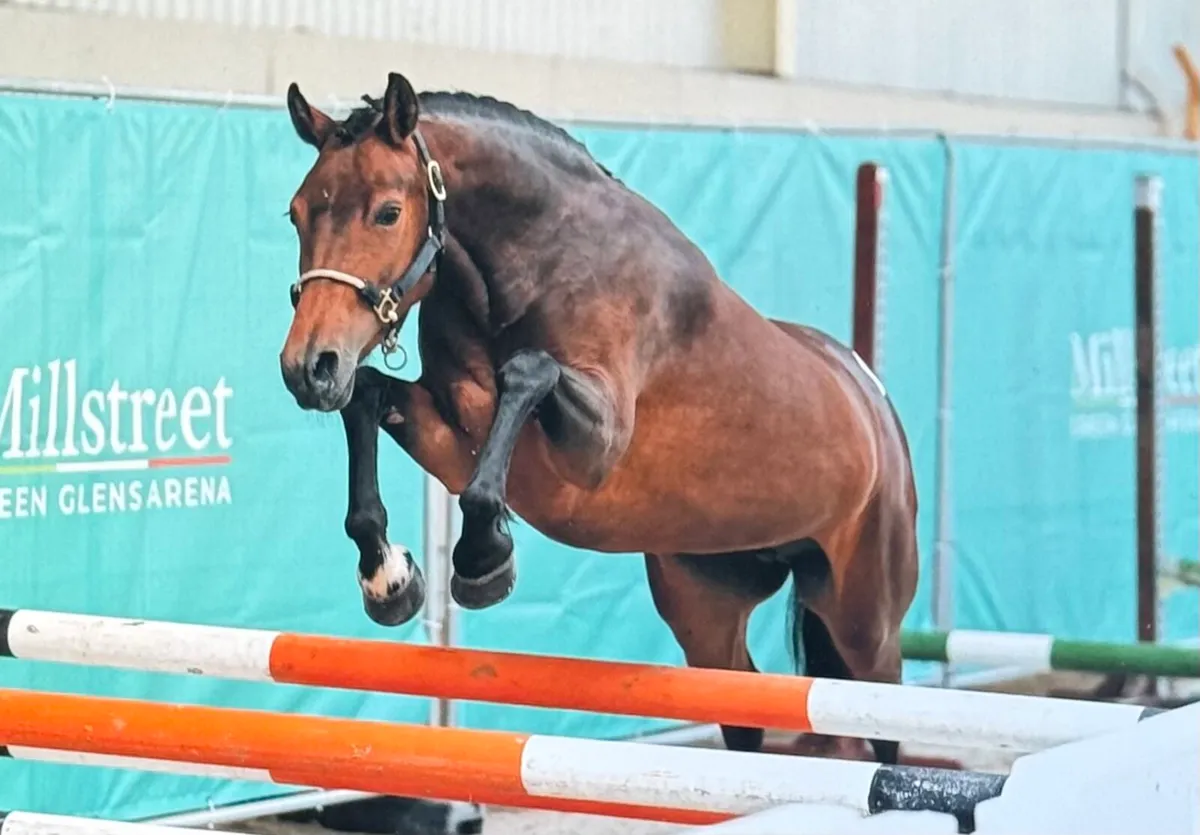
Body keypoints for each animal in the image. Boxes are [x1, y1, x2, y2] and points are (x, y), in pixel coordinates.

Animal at [277, 71, 919, 763]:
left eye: (389, 212)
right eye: (297, 212)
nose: (308, 367)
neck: (535, 266)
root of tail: (874, 400)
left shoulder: (594, 445)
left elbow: (527, 373)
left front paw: (481, 558)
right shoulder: (450, 434)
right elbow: (367, 394)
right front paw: (387, 576)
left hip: (866, 621)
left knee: (882, 716)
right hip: (707, 605)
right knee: (742, 708)